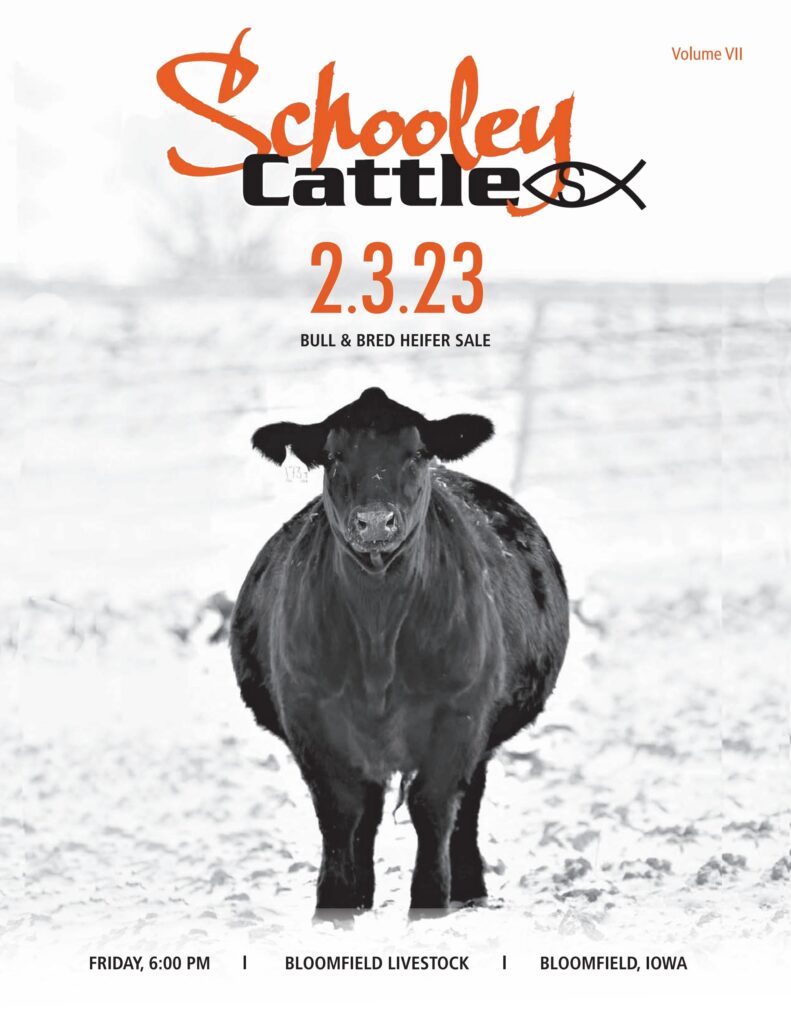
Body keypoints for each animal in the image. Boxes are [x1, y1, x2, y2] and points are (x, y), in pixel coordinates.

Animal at [230, 387, 569, 912]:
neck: (379, 633)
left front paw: (429, 902)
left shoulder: (460, 714)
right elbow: (340, 816)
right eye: (333, 455)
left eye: (416, 453)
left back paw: (469, 890)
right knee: (367, 816)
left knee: (465, 809)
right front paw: (335, 905)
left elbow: (433, 809)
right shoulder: (311, 717)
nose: (374, 521)